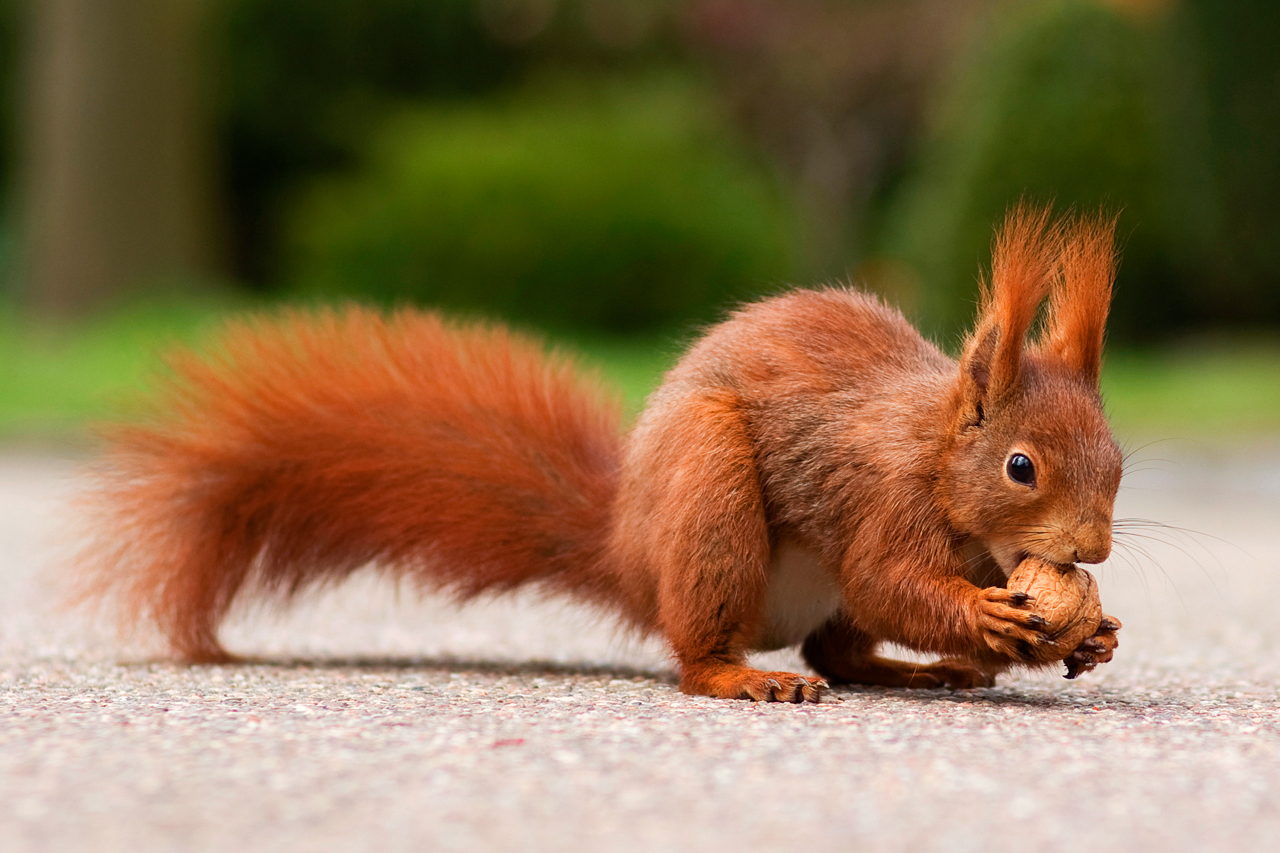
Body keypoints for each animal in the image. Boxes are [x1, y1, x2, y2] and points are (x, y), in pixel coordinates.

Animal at [74, 206, 1126, 696]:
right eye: (1021, 466)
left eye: (1118, 461)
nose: (1095, 552)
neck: (938, 460)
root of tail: (629, 550)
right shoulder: (883, 498)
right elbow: (886, 579)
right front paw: (989, 619)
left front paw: (1094, 633)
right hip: (711, 495)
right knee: (719, 648)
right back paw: (745, 675)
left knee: (842, 645)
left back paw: (917, 671)